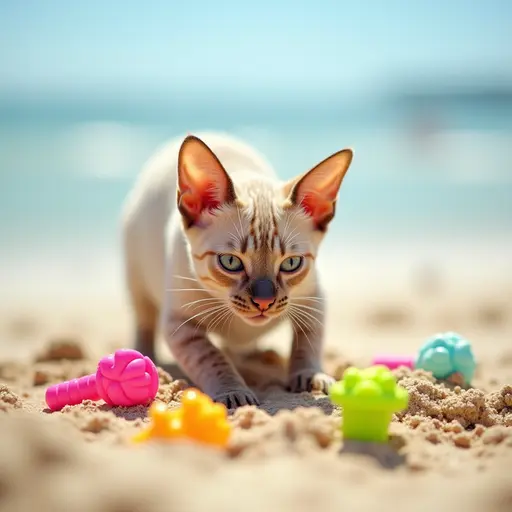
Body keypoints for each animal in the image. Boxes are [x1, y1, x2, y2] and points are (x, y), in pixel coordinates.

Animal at [121, 132, 352, 408]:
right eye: (230, 262)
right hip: (136, 278)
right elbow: (213, 358)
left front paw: (312, 377)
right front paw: (233, 392)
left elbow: (307, 343)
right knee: (144, 320)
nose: (264, 302)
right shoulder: (181, 325)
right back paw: (146, 357)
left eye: (290, 264)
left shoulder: (313, 302)